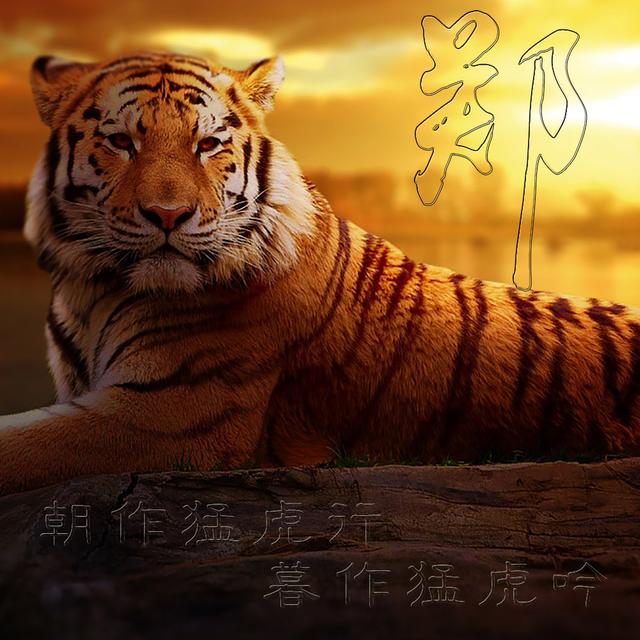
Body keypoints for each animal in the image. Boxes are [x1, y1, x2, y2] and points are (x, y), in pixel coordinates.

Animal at [0, 51, 639, 496]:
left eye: (207, 144)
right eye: (120, 141)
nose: (168, 215)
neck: (92, 289)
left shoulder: (168, 413)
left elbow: (22, 443)